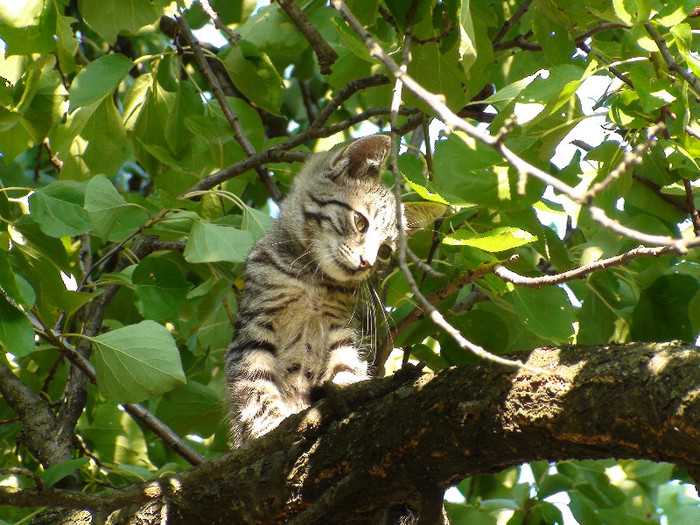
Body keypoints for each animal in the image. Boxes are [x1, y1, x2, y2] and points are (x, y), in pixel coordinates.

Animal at [226, 133, 442, 444]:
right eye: (360, 222)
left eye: (386, 252)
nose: (367, 263)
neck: (312, 280)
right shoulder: (253, 329)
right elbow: (255, 387)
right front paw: (269, 427)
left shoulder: (340, 327)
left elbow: (346, 365)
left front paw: (351, 390)